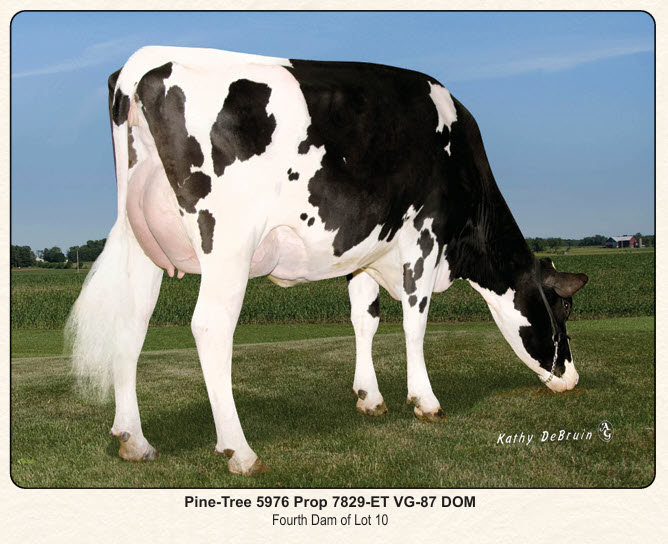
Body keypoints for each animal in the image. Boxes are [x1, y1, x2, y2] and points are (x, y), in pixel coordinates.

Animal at [66, 46, 588, 476]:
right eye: (563, 308)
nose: (572, 378)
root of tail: (142, 62)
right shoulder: (424, 236)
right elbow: (414, 321)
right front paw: (425, 401)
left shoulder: (367, 251)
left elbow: (364, 319)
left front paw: (369, 398)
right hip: (229, 240)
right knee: (211, 328)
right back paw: (240, 451)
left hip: (138, 241)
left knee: (130, 325)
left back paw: (134, 440)